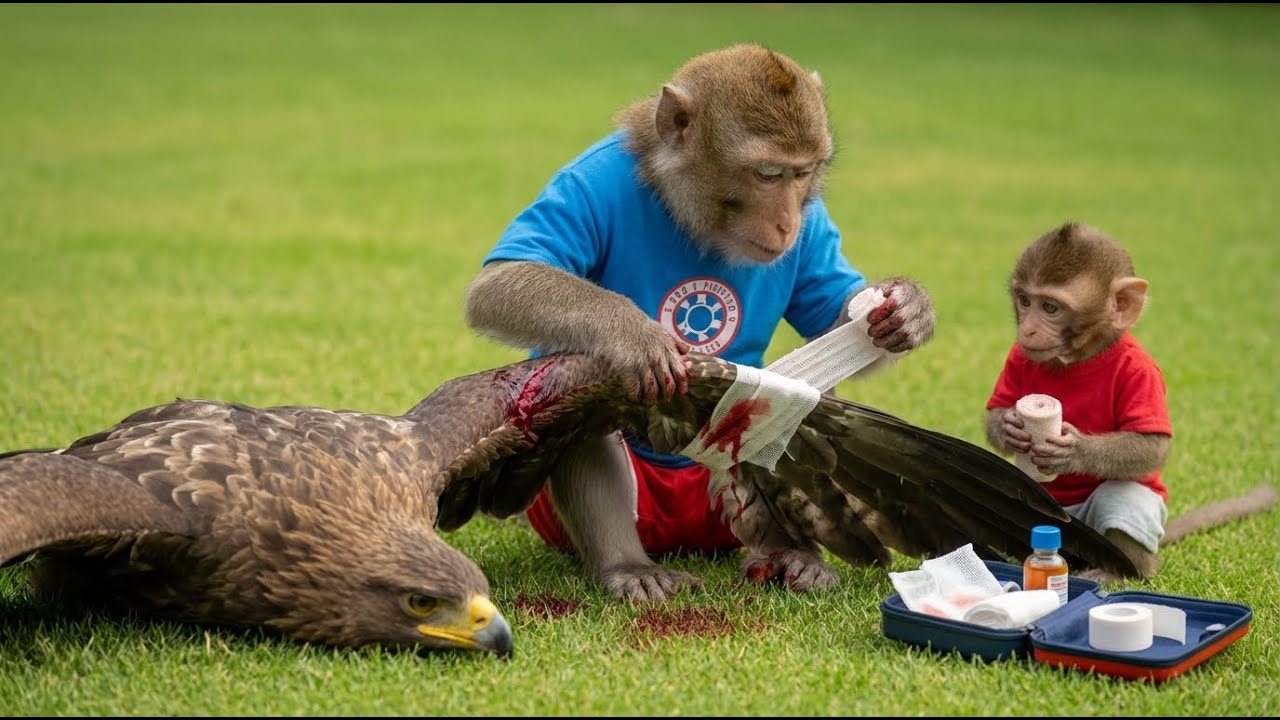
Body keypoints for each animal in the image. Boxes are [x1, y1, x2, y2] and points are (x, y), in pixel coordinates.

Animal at [464, 44, 935, 602]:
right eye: (767, 174)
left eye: (802, 175)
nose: (788, 223)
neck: (687, 211)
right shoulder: (590, 181)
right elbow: (499, 285)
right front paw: (635, 335)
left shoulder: (815, 221)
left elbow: (835, 314)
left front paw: (908, 309)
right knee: (590, 393)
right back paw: (628, 566)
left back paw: (795, 555)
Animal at [984, 221, 1276, 584]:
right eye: (1025, 301)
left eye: (1050, 307)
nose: (1029, 329)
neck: (1079, 360)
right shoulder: (1017, 356)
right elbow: (994, 413)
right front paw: (1010, 425)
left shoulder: (1142, 373)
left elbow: (1151, 445)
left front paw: (1076, 451)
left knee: (1125, 498)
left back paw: (1123, 572)